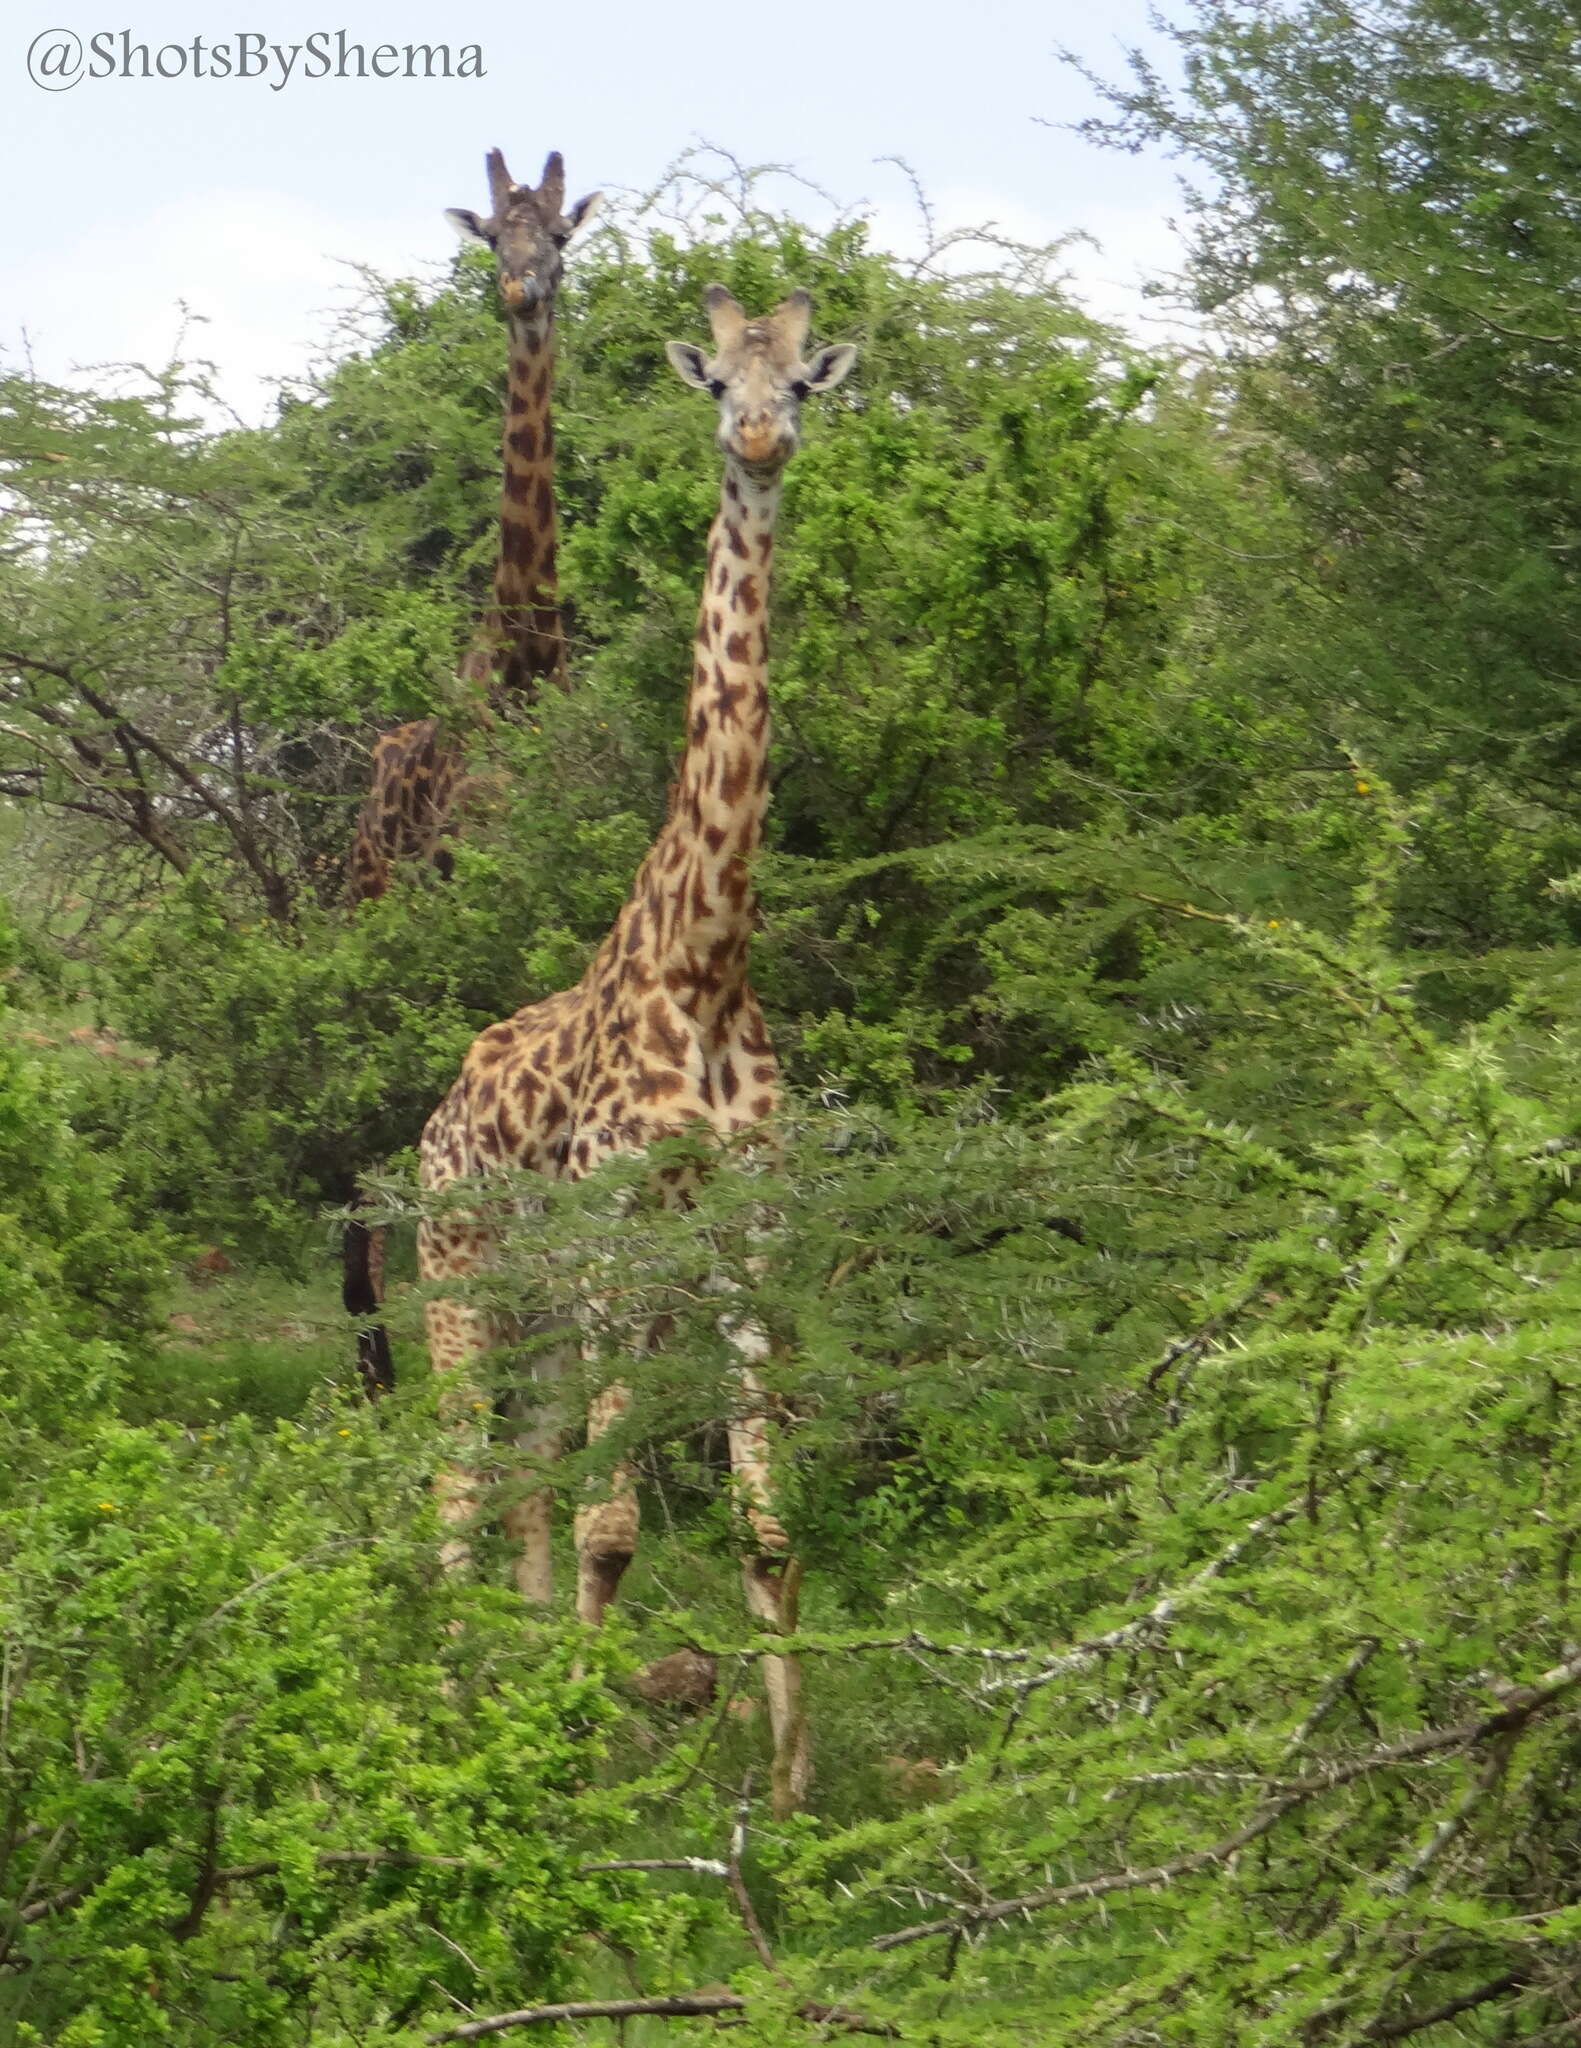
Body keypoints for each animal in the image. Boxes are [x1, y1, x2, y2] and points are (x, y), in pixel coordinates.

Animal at [419, 288, 860, 1810]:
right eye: (715, 378)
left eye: (806, 381)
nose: (760, 439)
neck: (708, 961)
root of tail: (433, 1117)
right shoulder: (621, 1234)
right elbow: (617, 1529)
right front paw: (577, 1760)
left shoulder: (747, 1236)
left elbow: (767, 1524)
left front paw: (787, 1791)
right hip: (463, 1273)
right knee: (459, 1477)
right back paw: (453, 1695)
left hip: (551, 1310)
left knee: (534, 1467)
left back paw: (511, 1675)